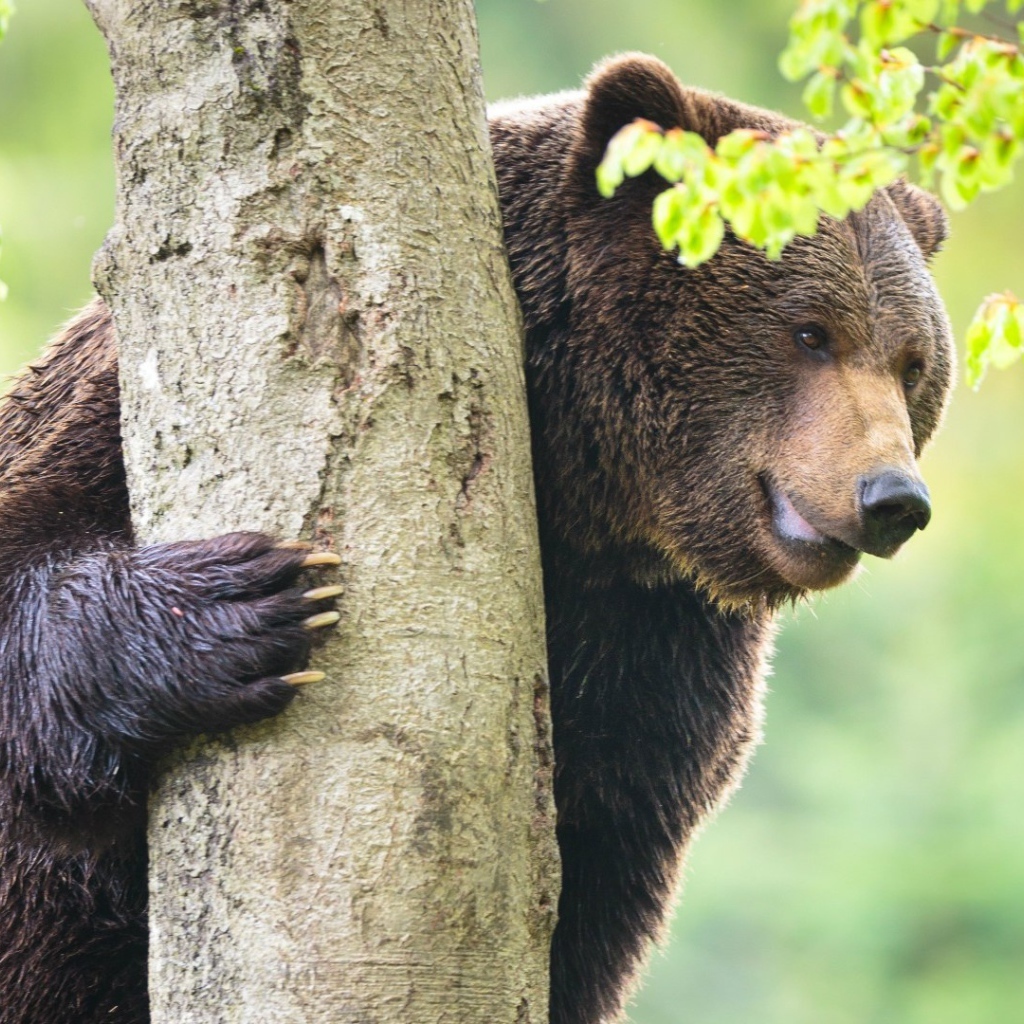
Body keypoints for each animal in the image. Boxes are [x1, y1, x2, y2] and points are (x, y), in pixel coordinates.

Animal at [0, 54, 950, 1024]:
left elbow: (600, 878)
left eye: (911, 361)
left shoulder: (656, 652)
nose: (892, 497)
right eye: (809, 331)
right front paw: (248, 603)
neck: (580, 492)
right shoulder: (112, 406)